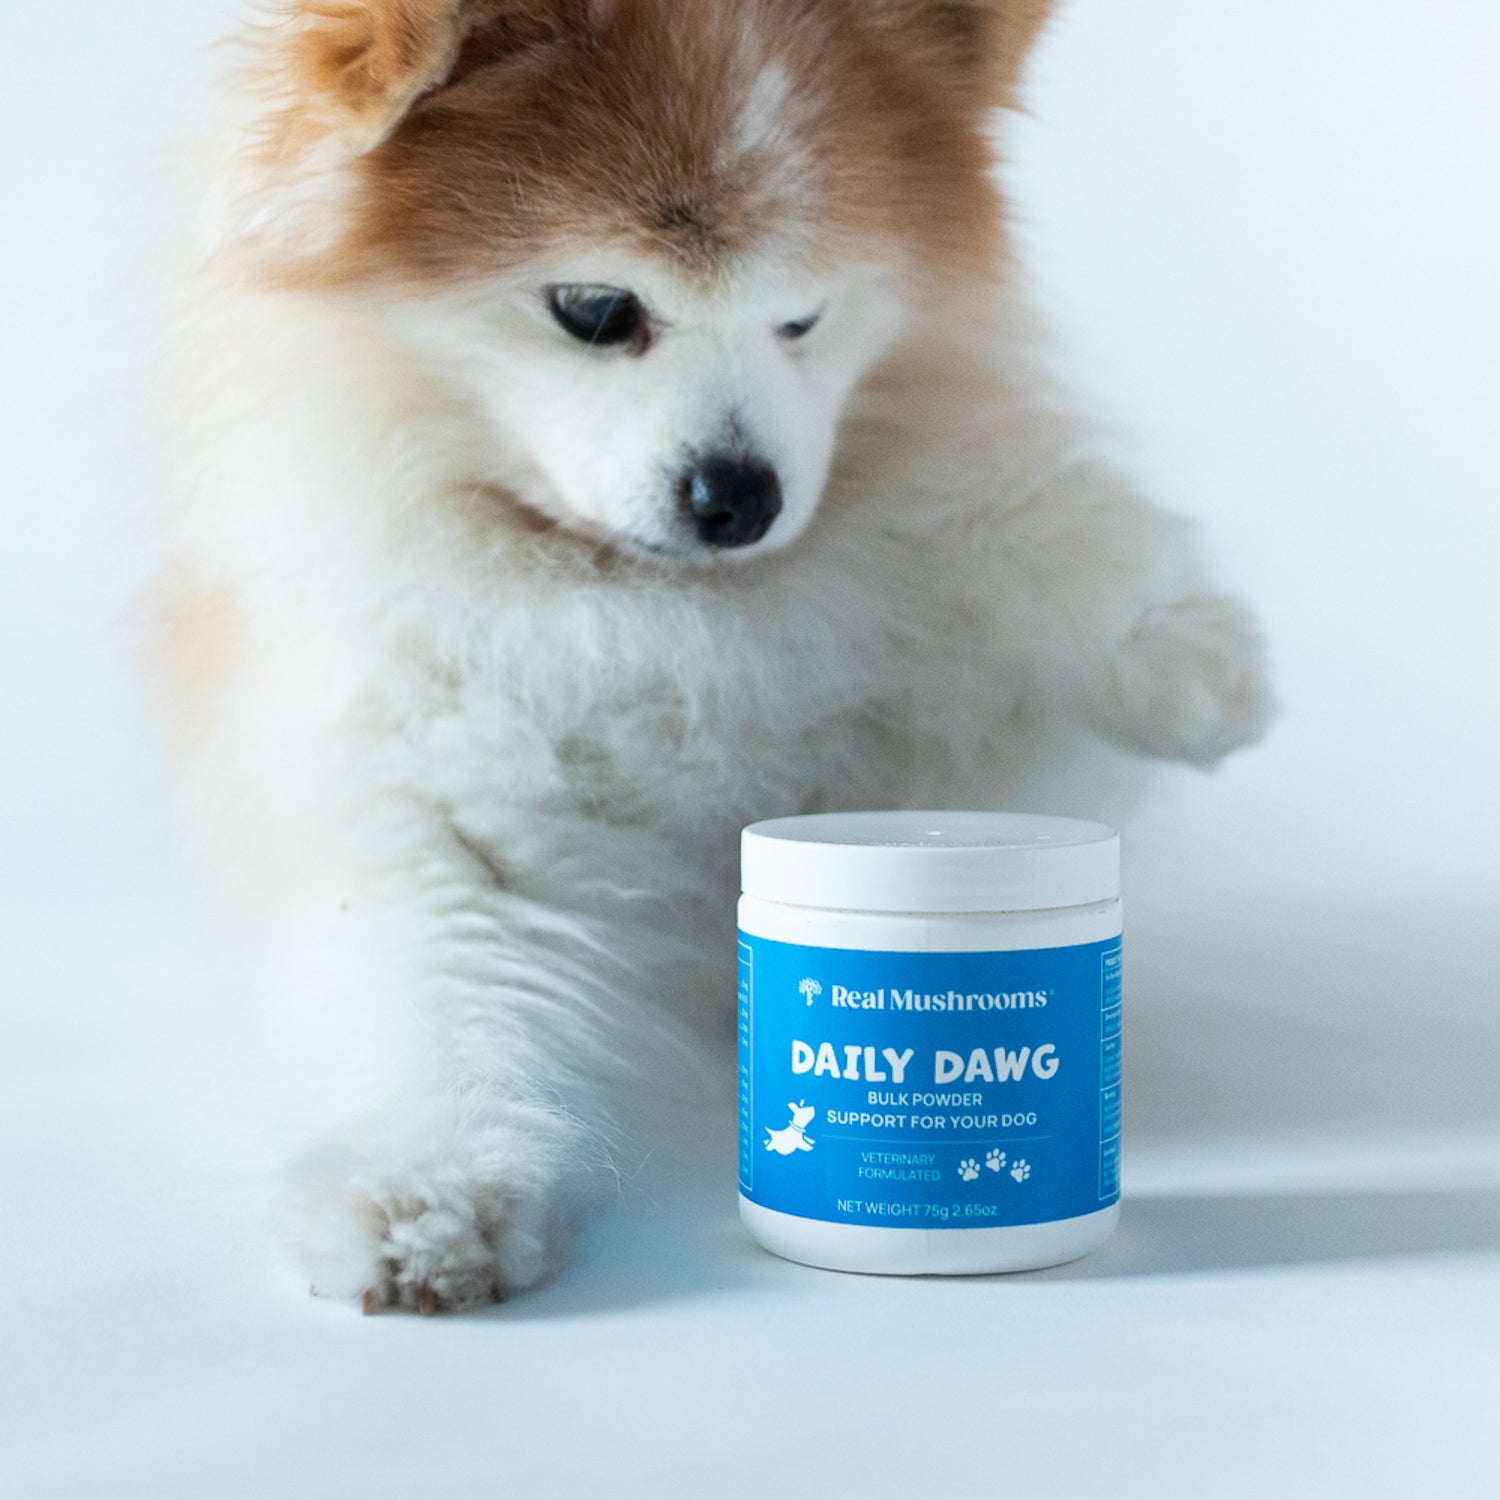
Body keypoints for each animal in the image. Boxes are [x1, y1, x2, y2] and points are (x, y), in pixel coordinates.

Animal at [152, 0, 1272, 1314]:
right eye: (596, 309)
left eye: (805, 317)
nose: (741, 496)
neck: (648, 608)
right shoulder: (415, 789)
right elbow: (426, 987)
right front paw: (423, 1193)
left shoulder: (910, 500)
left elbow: (992, 500)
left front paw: (1190, 657)